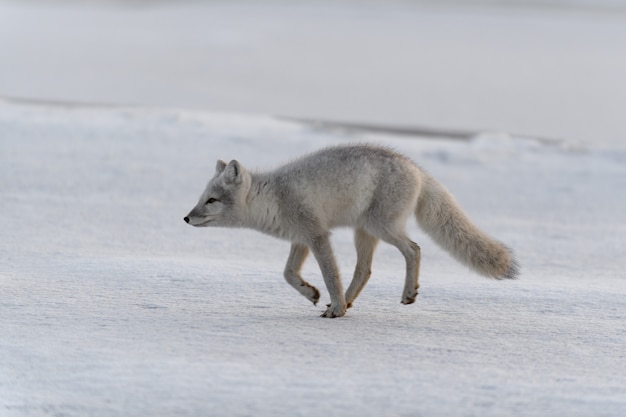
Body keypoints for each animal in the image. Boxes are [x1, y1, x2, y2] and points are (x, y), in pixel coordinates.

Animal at [183, 143, 516, 316]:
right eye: (202, 197)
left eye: (212, 200)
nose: (186, 218)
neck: (273, 197)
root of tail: (418, 169)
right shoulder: (301, 238)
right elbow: (288, 274)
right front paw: (314, 294)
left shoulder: (317, 235)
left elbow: (330, 274)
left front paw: (335, 310)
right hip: (364, 233)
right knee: (364, 271)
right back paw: (348, 300)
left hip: (382, 227)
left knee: (414, 249)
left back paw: (401, 294)